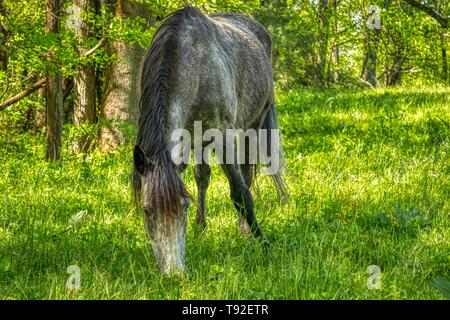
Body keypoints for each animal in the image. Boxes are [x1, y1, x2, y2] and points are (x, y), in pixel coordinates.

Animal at [132, 6, 286, 274]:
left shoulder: (223, 135)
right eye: (147, 210)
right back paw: (201, 226)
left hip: (252, 126)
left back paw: (244, 231)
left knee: (246, 175)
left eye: (183, 206)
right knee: (202, 176)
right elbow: (200, 178)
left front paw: (264, 244)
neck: (192, 65)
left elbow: (240, 193)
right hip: (199, 142)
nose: (174, 273)